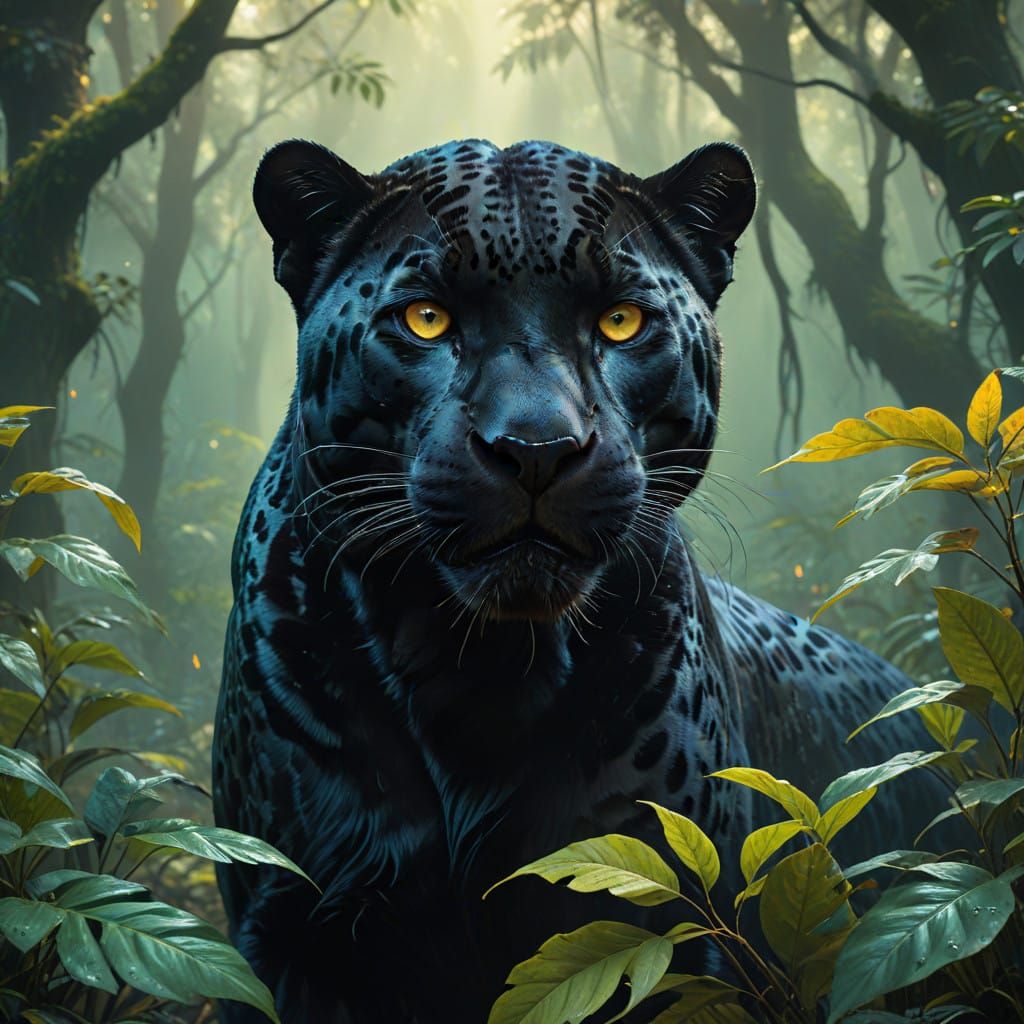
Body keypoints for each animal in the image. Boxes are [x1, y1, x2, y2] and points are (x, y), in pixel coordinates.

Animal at [212, 136, 930, 1023]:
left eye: (622, 321)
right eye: (425, 318)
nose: (535, 448)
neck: (473, 672)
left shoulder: (674, 919)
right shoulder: (287, 931)